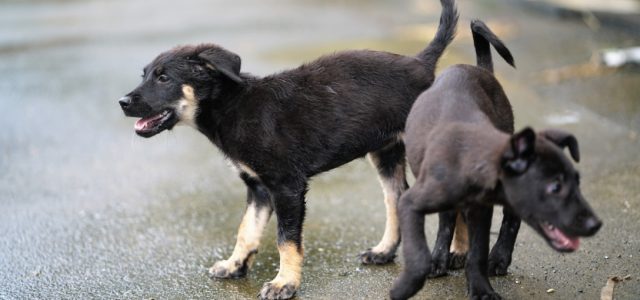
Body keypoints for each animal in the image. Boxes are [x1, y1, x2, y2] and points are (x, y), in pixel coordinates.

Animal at [120, 1, 458, 298]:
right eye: (145, 75)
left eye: (164, 78)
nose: (122, 102)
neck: (234, 106)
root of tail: (422, 63)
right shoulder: (258, 187)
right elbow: (247, 229)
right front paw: (234, 265)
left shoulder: (287, 187)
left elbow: (286, 241)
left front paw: (284, 284)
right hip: (386, 152)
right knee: (396, 197)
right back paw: (388, 252)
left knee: (450, 207)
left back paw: (442, 260)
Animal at [388, 19, 604, 298]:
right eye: (554, 187)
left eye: (577, 183)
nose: (595, 224)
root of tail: (480, 69)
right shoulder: (411, 203)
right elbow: (421, 250)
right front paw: (410, 283)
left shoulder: (482, 209)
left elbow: (478, 252)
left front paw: (480, 288)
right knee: (448, 219)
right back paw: (441, 258)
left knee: (509, 219)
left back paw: (498, 258)